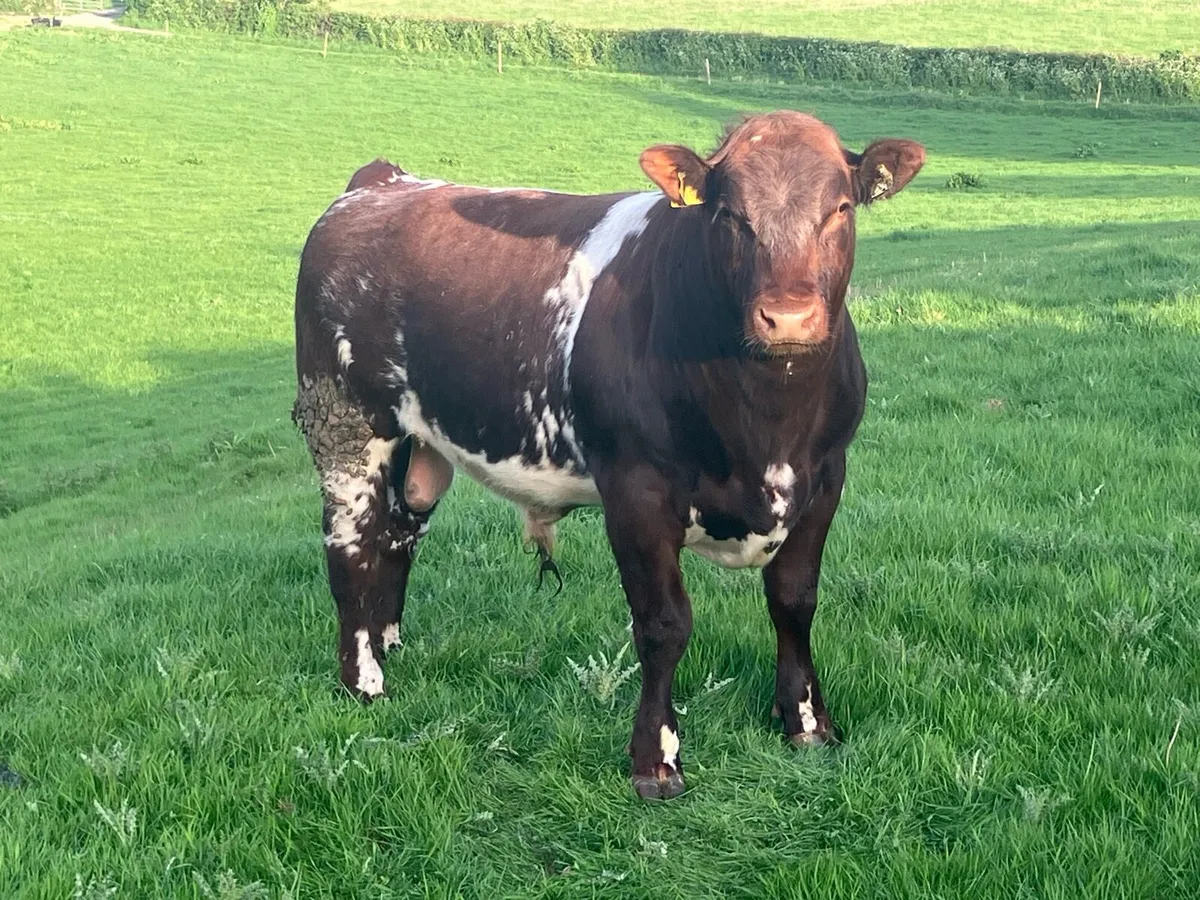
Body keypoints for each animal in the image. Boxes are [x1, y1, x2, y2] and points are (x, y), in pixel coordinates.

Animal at [293, 111, 924, 799]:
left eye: (841, 208)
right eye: (728, 214)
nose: (788, 317)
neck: (766, 425)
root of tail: (382, 181)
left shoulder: (826, 476)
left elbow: (794, 601)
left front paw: (807, 724)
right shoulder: (635, 489)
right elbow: (664, 624)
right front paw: (656, 760)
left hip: (420, 442)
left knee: (397, 534)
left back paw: (391, 646)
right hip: (344, 423)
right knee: (351, 549)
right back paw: (364, 682)